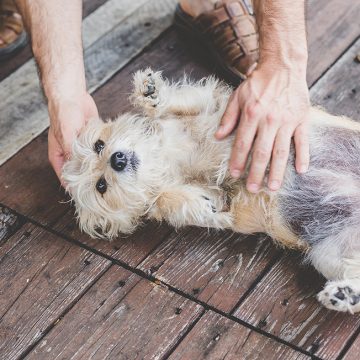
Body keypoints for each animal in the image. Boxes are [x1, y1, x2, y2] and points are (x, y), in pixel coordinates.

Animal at [63, 69, 360, 314]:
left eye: (99, 145)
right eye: (101, 186)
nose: (118, 159)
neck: (166, 158)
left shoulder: (218, 107)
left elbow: (184, 101)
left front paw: (150, 92)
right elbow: (169, 199)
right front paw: (203, 200)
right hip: (330, 251)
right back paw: (345, 295)